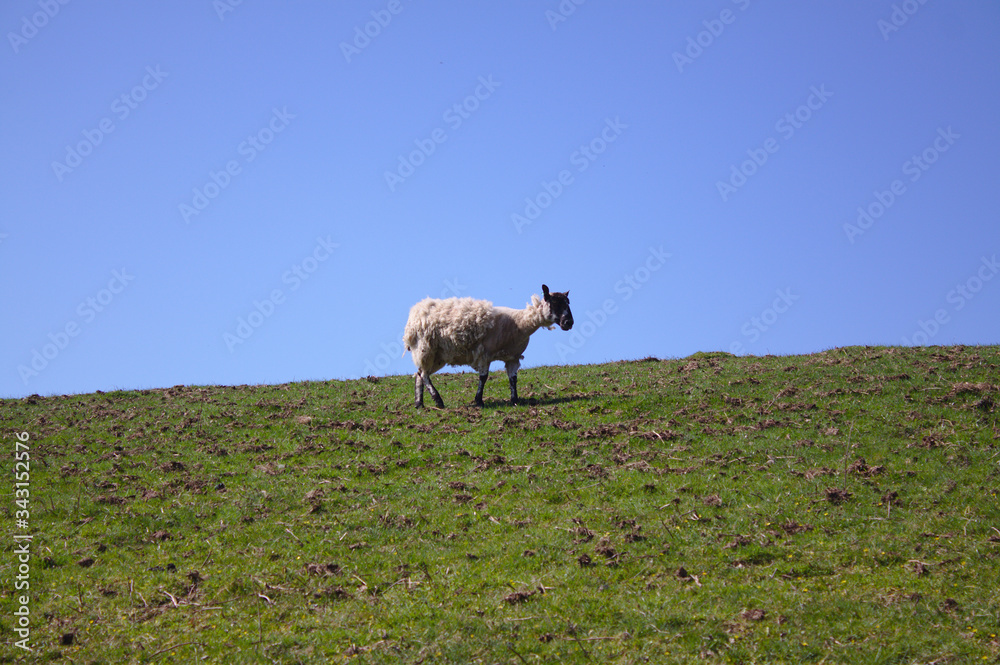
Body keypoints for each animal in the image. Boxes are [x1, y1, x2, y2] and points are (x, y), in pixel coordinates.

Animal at [402, 285, 574, 408]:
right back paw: (438, 400)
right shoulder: (485, 354)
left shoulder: (513, 357)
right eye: (554, 303)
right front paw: (479, 401)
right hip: (425, 348)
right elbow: (483, 378)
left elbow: (513, 379)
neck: (519, 323)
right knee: (424, 374)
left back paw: (420, 404)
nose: (569, 323)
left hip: (438, 355)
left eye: (568, 303)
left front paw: (515, 400)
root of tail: (415, 312)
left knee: (419, 374)